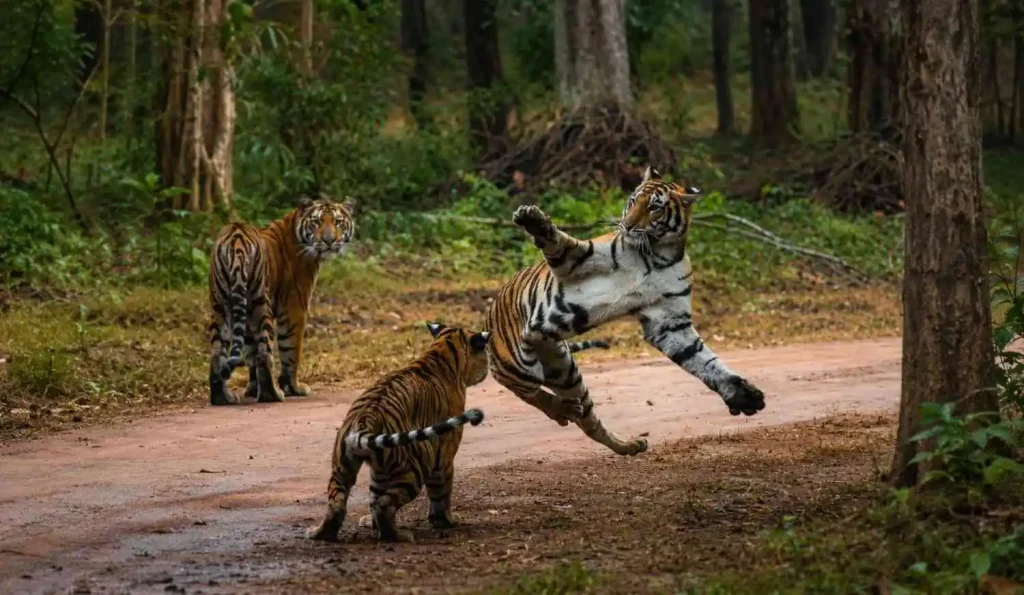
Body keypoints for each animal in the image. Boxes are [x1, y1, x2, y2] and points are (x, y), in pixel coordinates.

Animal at [207, 196, 355, 406]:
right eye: (317, 222)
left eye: (338, 221)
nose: (329, 240)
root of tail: (236, 236)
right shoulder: (295, 307)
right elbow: (290, 350)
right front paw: (293, 388)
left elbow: (250, 352)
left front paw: (252, 390)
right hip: (261, 305)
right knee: (264, 353)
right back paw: (273, 395)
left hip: (221, 306)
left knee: (217, 353)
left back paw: (222, 397)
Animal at [306, 322, 490, 543]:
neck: (443, 349)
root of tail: (366, 418)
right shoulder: (444, 456)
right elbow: (441, 493)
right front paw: (448, 520)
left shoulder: (378, 471)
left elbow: (373, 496)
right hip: (417, 464)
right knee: (384, 506)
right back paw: (399, 535)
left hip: (343, 467)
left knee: (338, 504)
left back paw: (320, 534)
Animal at [485, 166, 766, 456]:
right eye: (632, 201)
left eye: (654, 208)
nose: (627, 225)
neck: (656, 254)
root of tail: (489, 315)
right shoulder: (574, 261)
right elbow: (559, 240)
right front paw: (532, 218)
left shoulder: (669, 322)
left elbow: (703, 360)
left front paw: (741, 394)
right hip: (520, 365)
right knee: (527, 391)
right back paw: (561, 410)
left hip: (564, 370)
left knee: (588, 420)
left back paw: (624, 443)